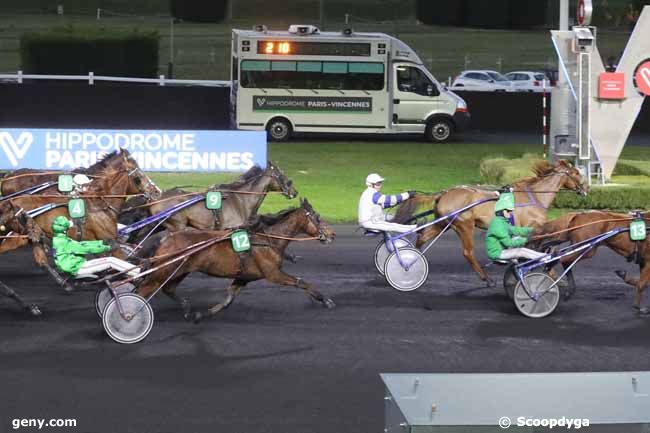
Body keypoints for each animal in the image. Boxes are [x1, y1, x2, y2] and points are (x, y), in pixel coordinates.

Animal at [135, 197, 334, 322]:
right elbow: (301, 282)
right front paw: (326, 300)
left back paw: (186, 308)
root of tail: (166, 239)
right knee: (143, 291)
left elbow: (227, 301)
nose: (332, 234)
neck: (268, 240)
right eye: (317, 217)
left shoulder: (243, 277)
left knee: (168, 289)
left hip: (178, 271)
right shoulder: (273, 274)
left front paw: (202, 315)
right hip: (163, 271)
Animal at [390, 160, 588, 286]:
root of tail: (444, 193)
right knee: (468, 252)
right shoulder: (532, 227)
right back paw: (487, 279)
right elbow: (538, 247)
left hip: (442, 223)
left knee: (423, 236)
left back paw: (411, 261)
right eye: (576, 173)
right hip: (464, 225)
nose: (586, 189)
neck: (535, 196)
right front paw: (550, 273)